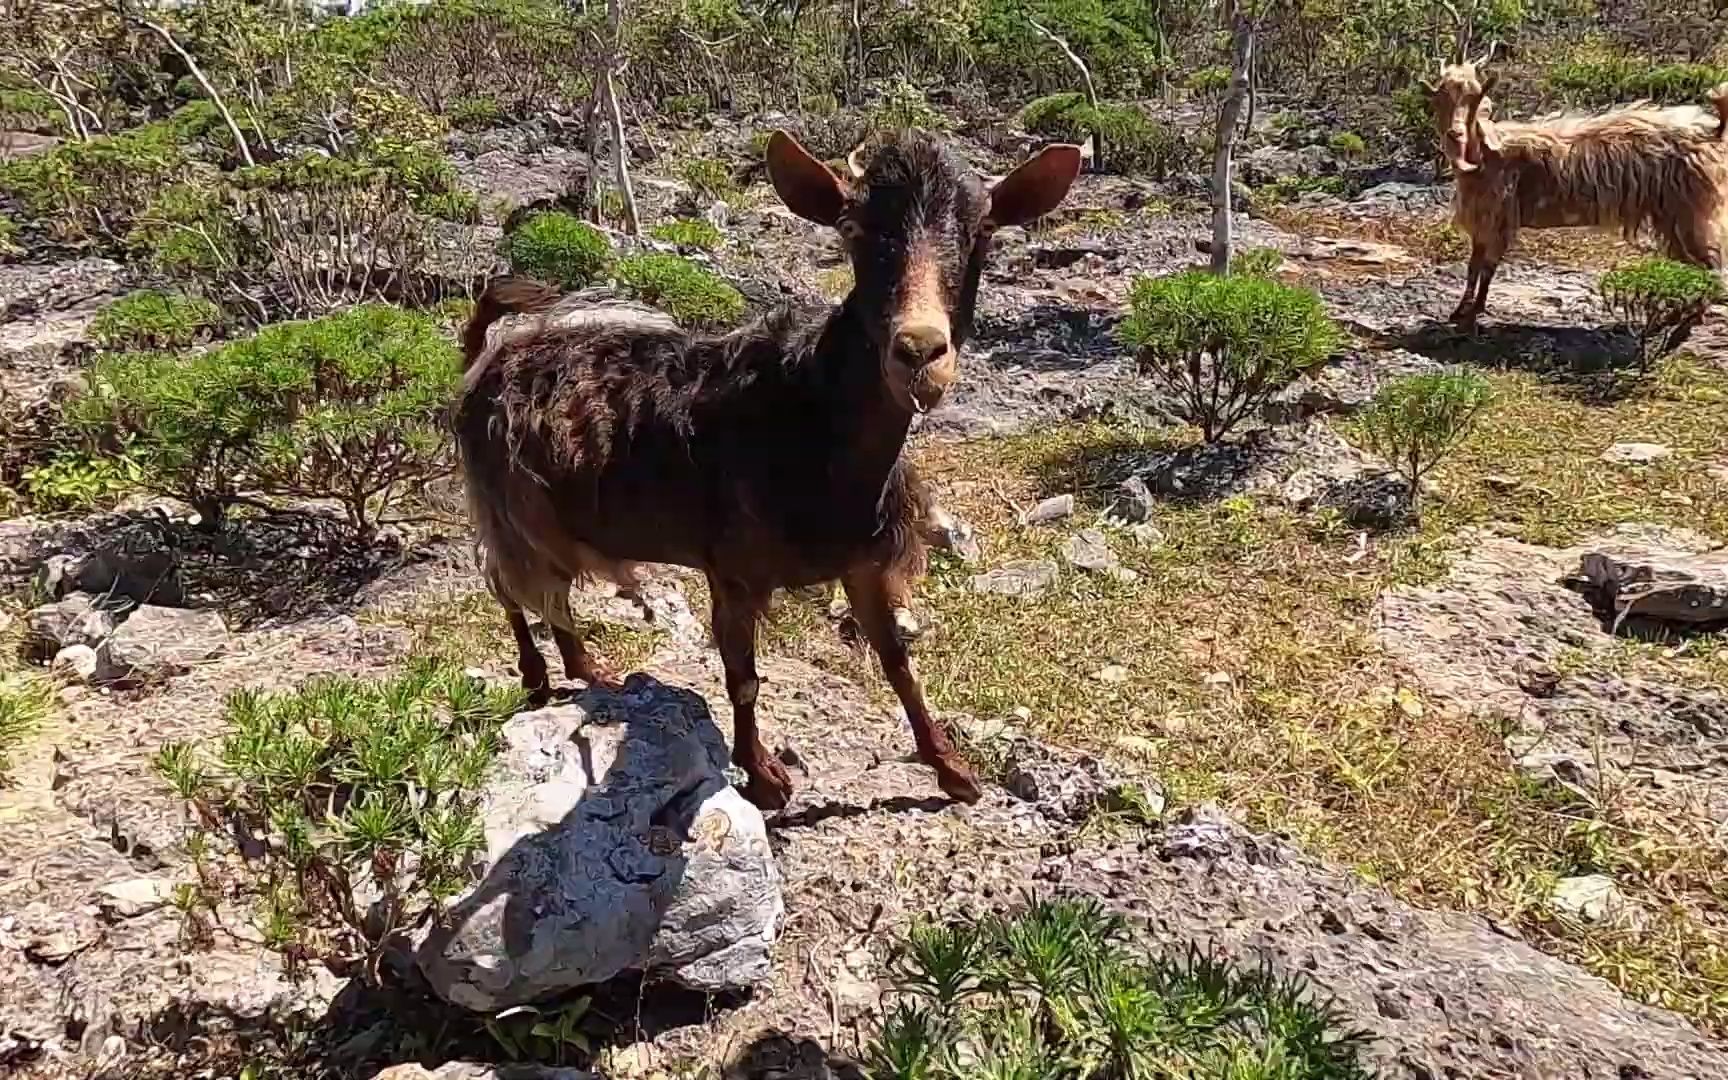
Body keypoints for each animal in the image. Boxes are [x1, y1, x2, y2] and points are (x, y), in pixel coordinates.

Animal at [459, 130, 1078, 808]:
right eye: (852, 228)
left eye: (983, 229)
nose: (919, 352)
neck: (811, 425)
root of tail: (487, 356)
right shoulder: (731, 569)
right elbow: (743, 676)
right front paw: (761, 776)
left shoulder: (863, 563)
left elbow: (898, 663)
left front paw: (952, 769)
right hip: (508, 507)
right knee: (509, 584)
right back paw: (539, 675)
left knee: (550, 593)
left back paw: (588, 672)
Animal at [1423, 57, 1728, 324]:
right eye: (1439, 96)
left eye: (1476, 96)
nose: (1455, 134)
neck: (1485, 156)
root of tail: (1710, 133)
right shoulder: (1482, 220)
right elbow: (1473, 266)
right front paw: (1460, 312)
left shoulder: (1498, 218)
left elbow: (1486, 268)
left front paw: (1473, 313)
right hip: (1671, 216)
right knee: (1691, 264)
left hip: (1693, 211)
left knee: (1710, 265)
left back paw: (1692, 316)